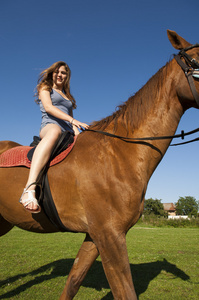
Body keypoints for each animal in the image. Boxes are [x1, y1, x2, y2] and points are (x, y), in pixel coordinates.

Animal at [0, 31, 199, 300]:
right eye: (196, 62)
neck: (118, 154)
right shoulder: (110, 236)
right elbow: (125, 291)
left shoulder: (95, 237)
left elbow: (73, 282)